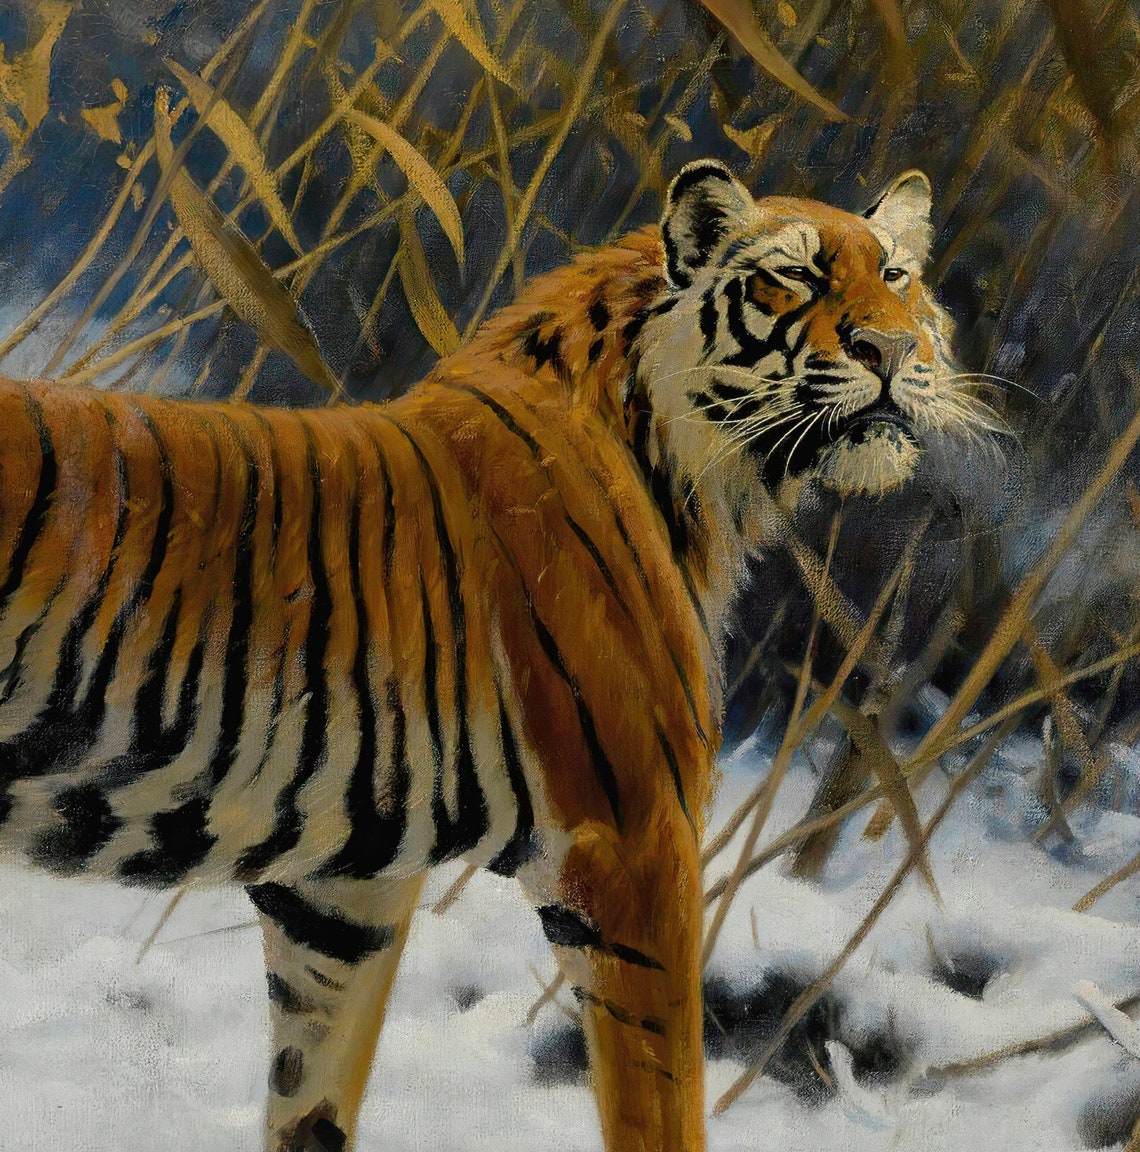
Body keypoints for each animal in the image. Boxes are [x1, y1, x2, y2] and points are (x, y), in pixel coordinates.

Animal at [0, 159, 994, 1152]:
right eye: (795, 277)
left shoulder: (342, 897)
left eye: (896, 275)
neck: (702, 480)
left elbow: (312, 1098)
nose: (892, 349)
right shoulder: (633, 842)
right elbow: (661, 1103)